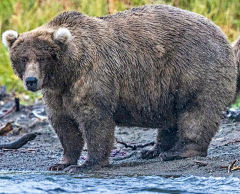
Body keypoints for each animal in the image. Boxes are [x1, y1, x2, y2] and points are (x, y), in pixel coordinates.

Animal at [1, 4, 237, 173]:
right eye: (23, 58)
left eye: (42, 58)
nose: (31, 80)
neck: (67, 72)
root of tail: (222, 34)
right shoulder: (56, 93)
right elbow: (64, 125)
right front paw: (61, 163)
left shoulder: (92, 77)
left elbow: (95, 121)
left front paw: (87, 164)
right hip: (169, 87)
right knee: (172, 117)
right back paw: (154, 150)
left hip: (196, 68)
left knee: (196, 111)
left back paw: (178, 151)